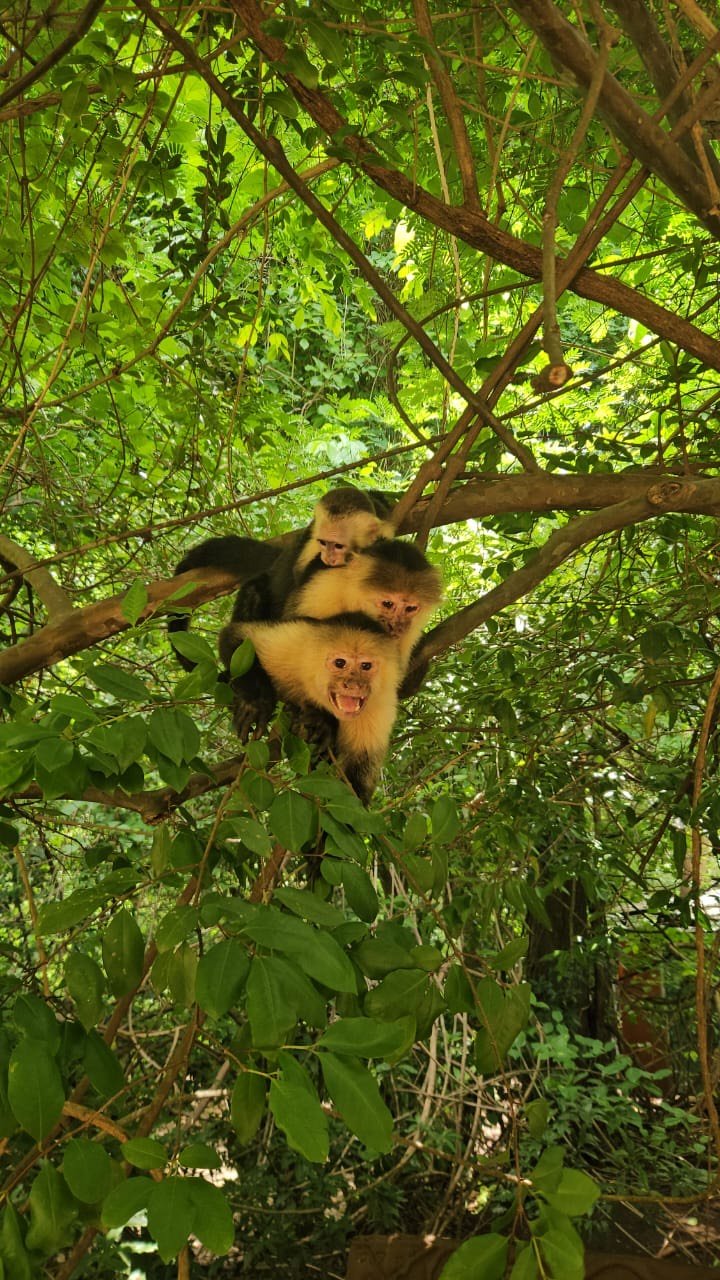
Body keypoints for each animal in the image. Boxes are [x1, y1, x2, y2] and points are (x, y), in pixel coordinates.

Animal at [168, 486, 395, 670]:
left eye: (338, 546)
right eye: (323, 543)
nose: (328, 557)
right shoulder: (312, 542)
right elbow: (298, 589)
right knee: (258, 588)